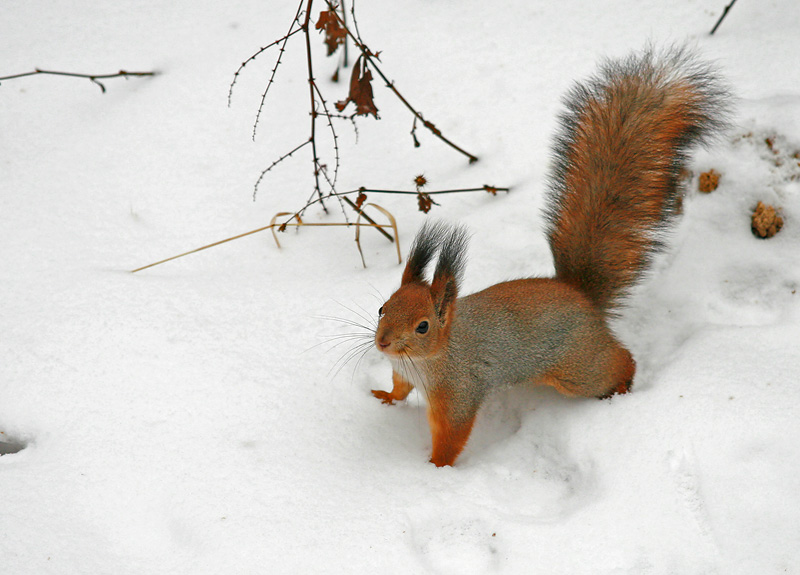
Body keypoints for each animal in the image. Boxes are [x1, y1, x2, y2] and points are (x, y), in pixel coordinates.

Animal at [372, 46, 728, 468]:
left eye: (423, 326)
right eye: (382, 308)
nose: (382, 344)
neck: (431, 356)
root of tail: (580, 295)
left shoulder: (459, 391)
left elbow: (452, 436)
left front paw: (434, 471)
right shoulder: (403, 373)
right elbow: (398, 389)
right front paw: (384, 398)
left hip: (578, 367)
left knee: (619, 362)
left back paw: (622, 388)